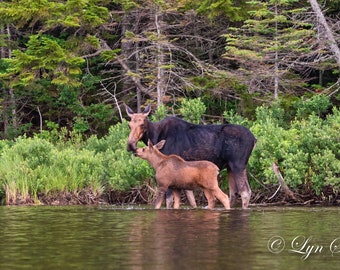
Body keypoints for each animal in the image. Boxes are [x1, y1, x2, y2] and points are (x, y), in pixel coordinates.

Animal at [126, 104, 256, 209]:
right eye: (129, 125)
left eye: (142, 124)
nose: (130, 145)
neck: (156, 135)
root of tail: (255, 139)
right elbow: (191, 200)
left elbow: (168, 201)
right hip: (230, 167)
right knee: (233, 193)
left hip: (238, 165)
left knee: (245, 192)